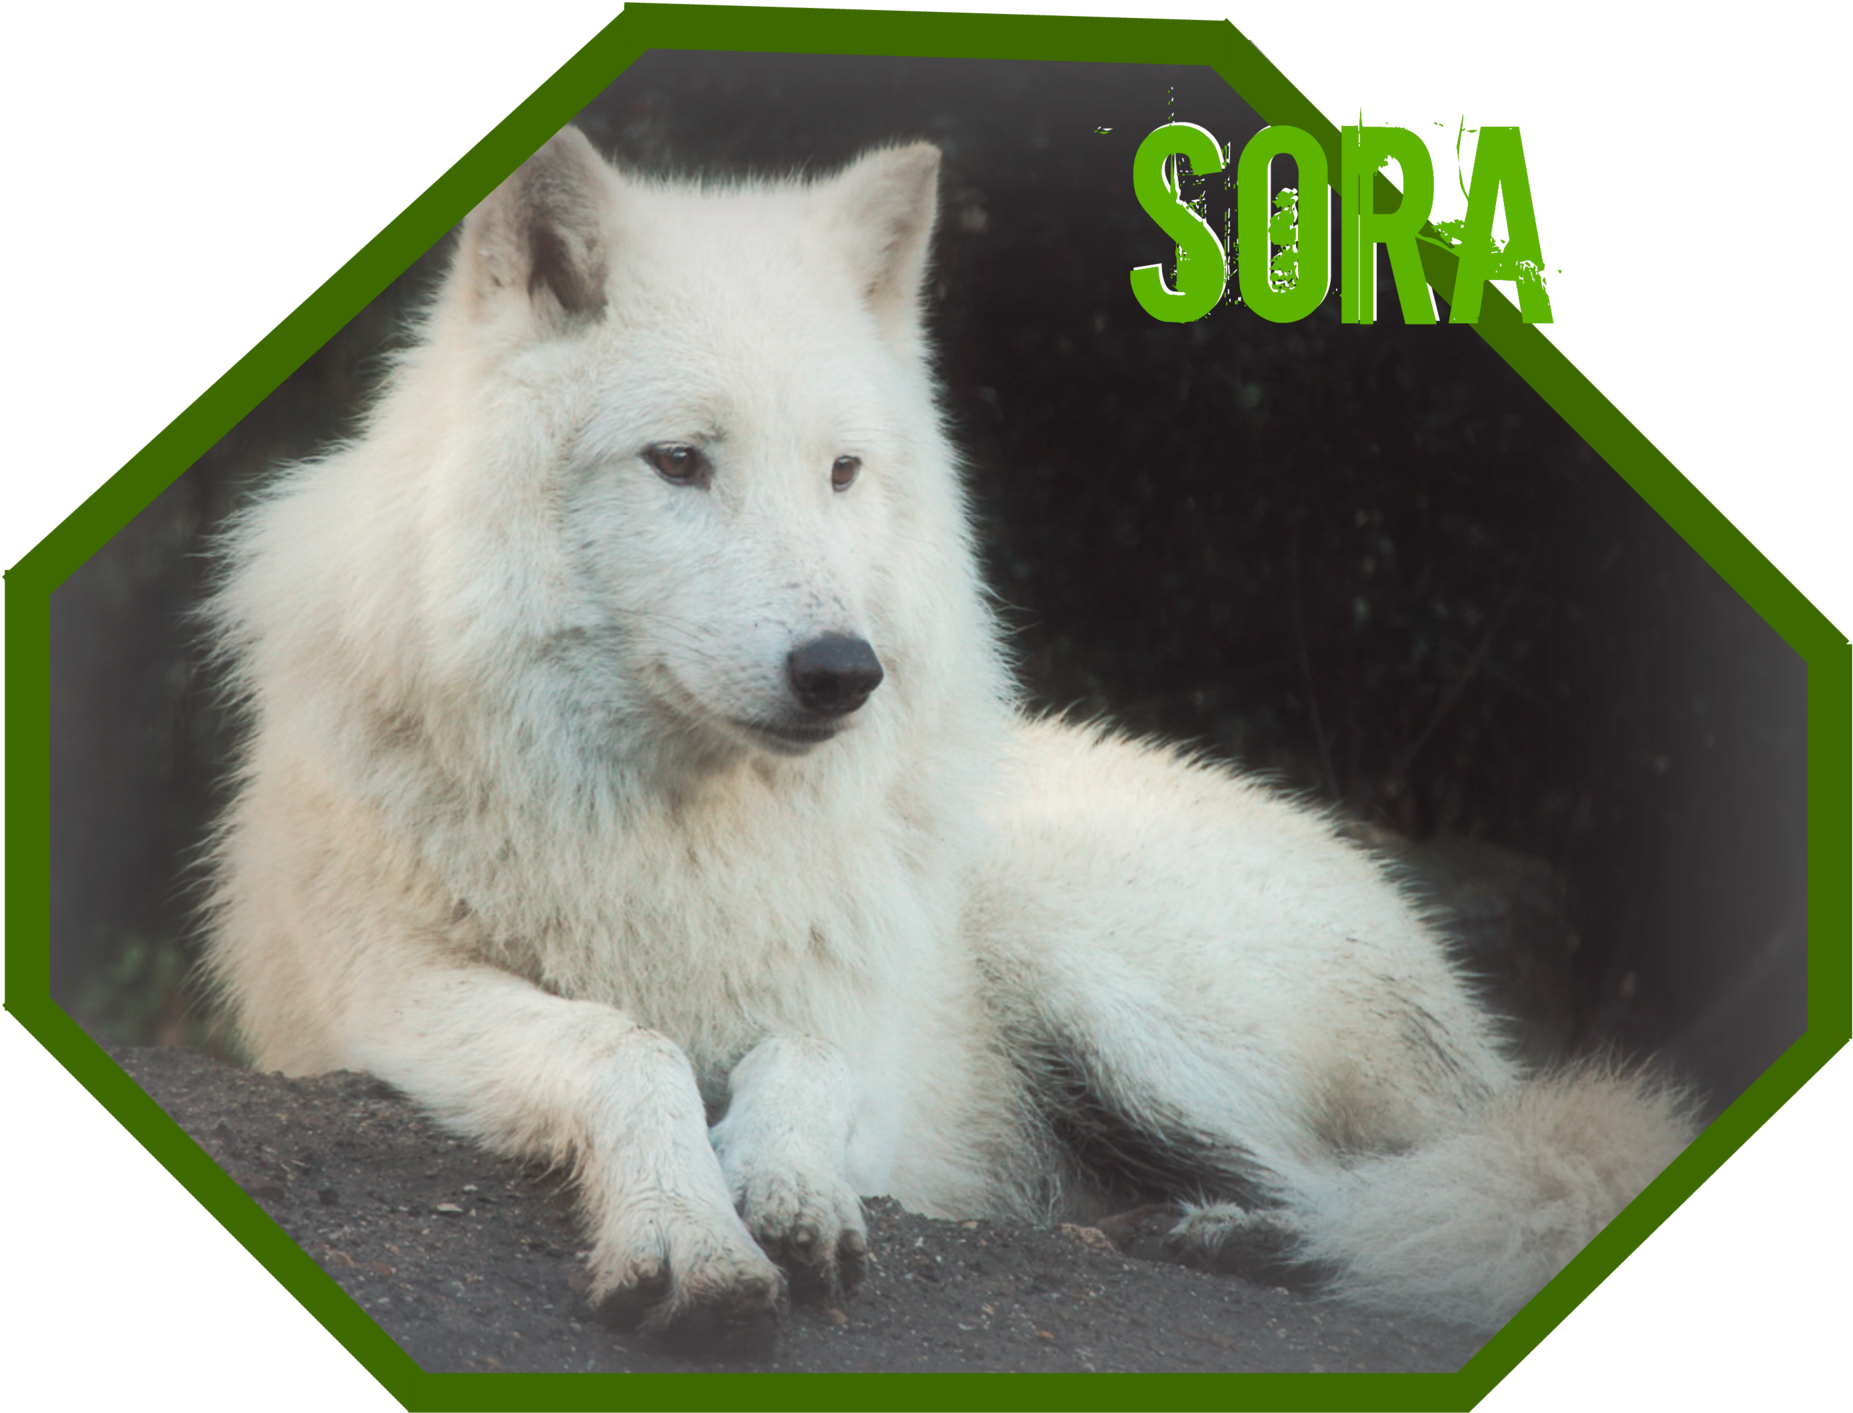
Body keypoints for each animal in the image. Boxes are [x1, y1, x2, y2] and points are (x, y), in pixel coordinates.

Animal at [201, 125, 1696, 1347]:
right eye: (679, 462)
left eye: (841, 472)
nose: (839, 672)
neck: (676, 838)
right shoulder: (387, 993)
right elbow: (623, 1048)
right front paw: (690, 1231)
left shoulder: (860, 1019)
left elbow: (800, 1062)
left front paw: (785, 1188)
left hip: (1089, 970)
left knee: (1413, 1184)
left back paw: (1242, 1236)